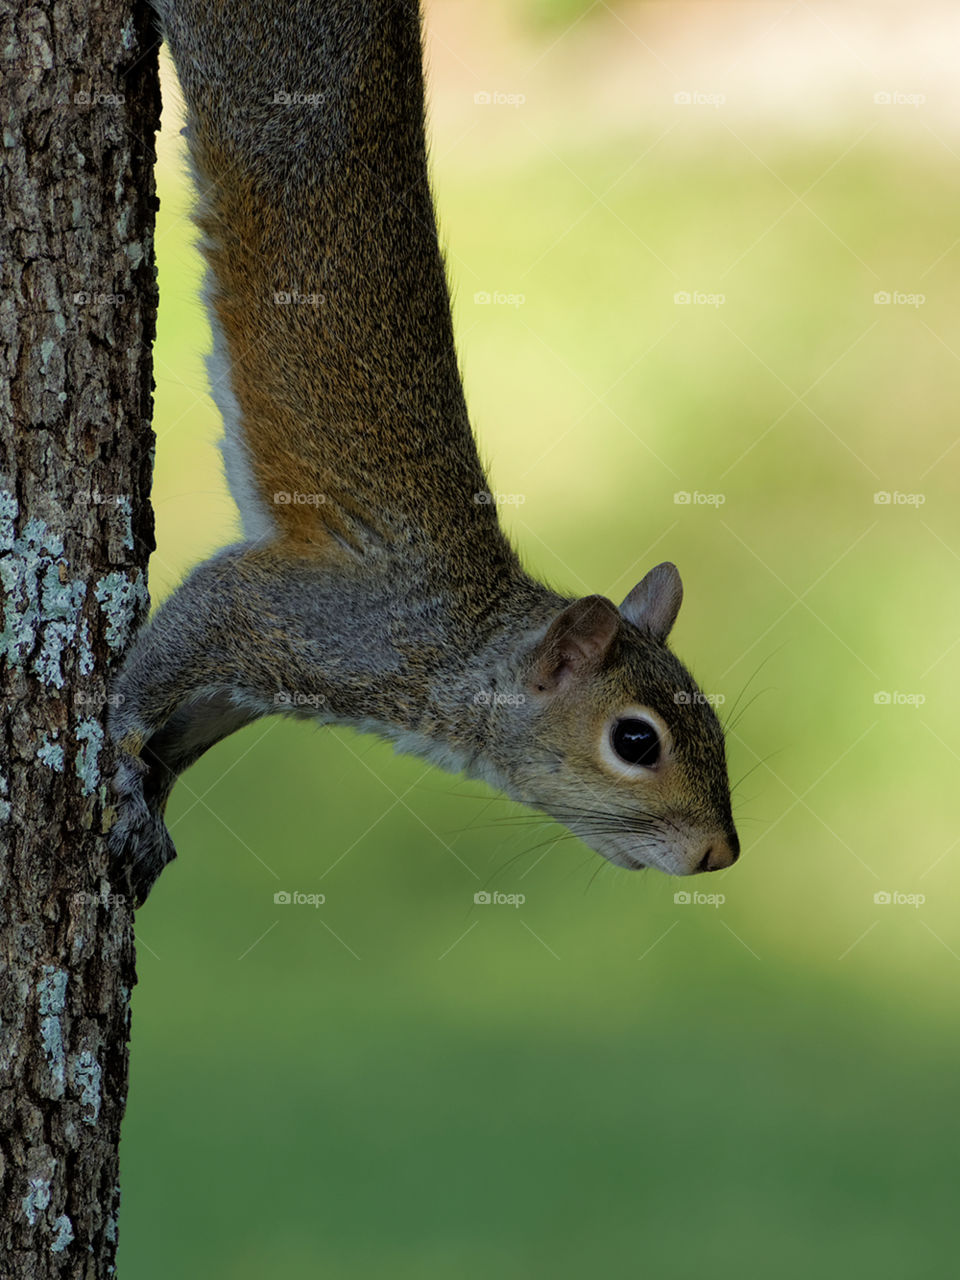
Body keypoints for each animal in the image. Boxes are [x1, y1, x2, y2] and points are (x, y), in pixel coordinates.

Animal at [109, 0, 740, 905]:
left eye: (714, 720)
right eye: (636, 741)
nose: (721, 853)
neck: (461, 645)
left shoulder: (247, 689)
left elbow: (185, 729)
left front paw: (154, 801)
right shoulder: (304, 619)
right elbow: (175, 647)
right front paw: (123, 766)